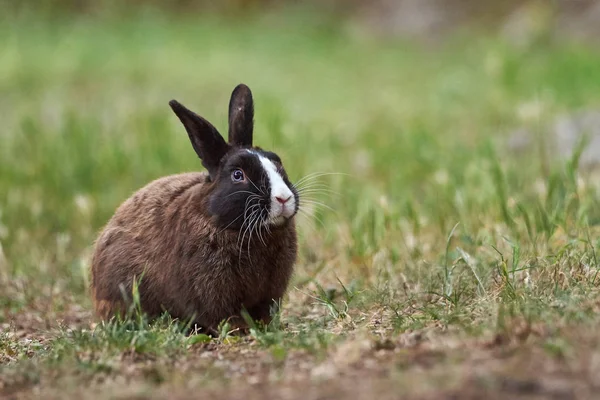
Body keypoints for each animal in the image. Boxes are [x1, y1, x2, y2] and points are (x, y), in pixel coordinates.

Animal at [89, 84, 300, 334]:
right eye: (238, 175)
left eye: (278, 162)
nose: (283, 198)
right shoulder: (210, 288)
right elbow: (220, 313)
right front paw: (239, 329)